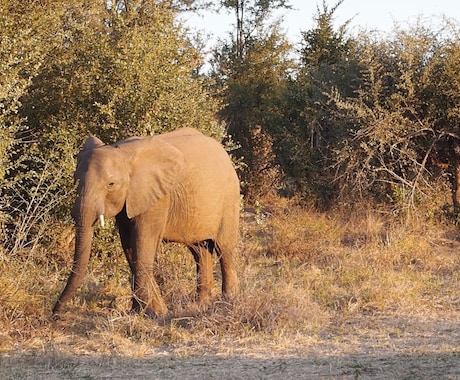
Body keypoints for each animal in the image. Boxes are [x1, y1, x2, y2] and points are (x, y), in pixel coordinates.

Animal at [52, 127, 241, 318]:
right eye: (76, 180)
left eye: (111, 184)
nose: (55, 314)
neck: (123, 153)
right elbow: (129, 246)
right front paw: (144, 310)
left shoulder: (157, 198)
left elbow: (143, 244)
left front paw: (153, 314)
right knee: (199, 250)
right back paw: (201, 304)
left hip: (229, 198)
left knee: (224, 248)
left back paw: (228, 302)